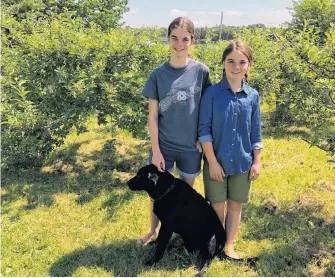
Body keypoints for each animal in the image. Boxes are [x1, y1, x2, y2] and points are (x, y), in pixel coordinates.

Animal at [127, 164, 256, 274]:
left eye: (139, 175)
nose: (127, 183)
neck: (167, 190)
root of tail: (221, 251)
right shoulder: (164, 225)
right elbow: (160, 238)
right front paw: (154, 243)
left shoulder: (167, 226)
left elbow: (160, 247)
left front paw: (153, 261)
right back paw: (174, 247)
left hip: (212, 239)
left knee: (208, 261)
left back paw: (200, 272)